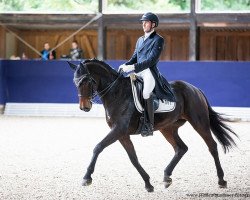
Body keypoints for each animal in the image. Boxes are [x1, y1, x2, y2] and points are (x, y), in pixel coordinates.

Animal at [67, 59, 237, 192]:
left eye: (87, 81)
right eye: (75, 82)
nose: (84, 107)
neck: (116, 93)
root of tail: (195, 89)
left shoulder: (118, 130)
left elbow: (98, 147)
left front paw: (87, 178)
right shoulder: (122, 134)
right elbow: (133, 158)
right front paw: (148, 184)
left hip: (199, 123)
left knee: (212, 146)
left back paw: (221, 180)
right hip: (168, 128)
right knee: (181, 148)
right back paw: (167, 177)